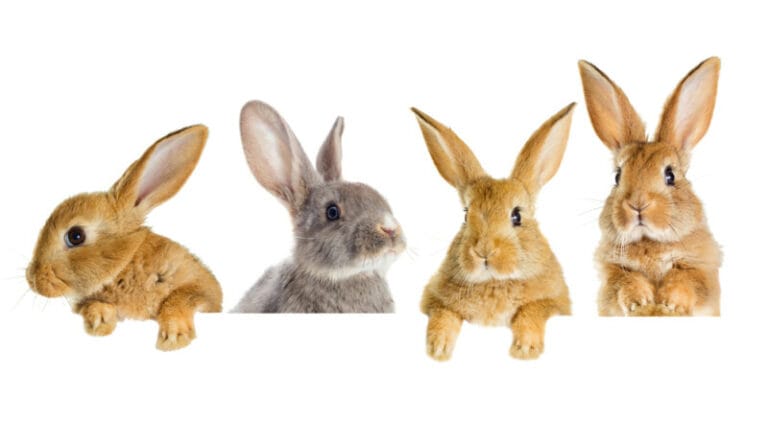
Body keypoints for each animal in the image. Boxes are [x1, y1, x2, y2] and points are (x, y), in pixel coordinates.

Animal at [25, 125, 223, 350]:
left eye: (75, 236)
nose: (32, 279)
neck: (126, 263)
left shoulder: (204, 288)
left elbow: (182, 297)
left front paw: (174, 337)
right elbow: (91, 305)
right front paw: (99, 322)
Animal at [412, 103, 575, 360]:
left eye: (517, 216)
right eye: (466, 214)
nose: (484, 251)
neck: (493, 282)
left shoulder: (555, 302)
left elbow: (533, 309)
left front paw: (524, 350)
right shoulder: (434, 300)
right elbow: (443, 314)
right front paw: (437, 348)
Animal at [578, 57, 722, 316]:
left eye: (670, 175)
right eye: (617, 176)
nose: (638, 204)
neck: (650, 242)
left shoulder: (702, 271)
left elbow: (686, 280)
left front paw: (669, 304)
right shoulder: (612, 274)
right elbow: (625, 282)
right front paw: (640, 303)